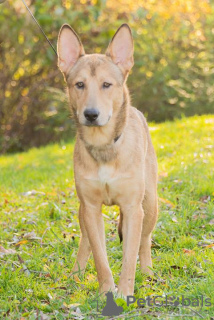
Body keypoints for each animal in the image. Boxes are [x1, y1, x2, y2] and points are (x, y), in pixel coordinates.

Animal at [57, 23, 158, 296]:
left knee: (145, 240)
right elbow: (100, 257)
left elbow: (130, 255)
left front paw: (125, 292)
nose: (91, 114)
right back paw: (76, 273)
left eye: (106, 84)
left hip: (150, 203)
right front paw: (106, 291)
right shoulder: (91, 208)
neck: (104, 147)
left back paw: (148, 272)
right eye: (79, 84)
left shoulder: (133, 209)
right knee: (85, 241)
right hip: (82, 211)